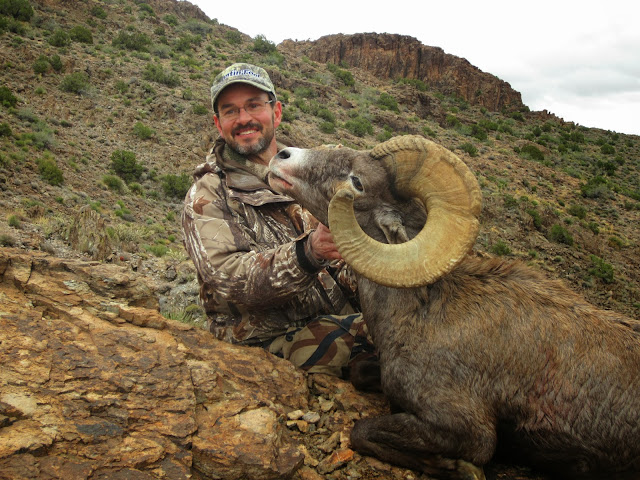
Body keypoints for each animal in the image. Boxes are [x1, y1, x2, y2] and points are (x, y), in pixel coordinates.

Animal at [268, 135, 640, 480]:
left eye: (357, 182)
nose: (281, 156)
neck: (424, 312)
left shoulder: (467, 430)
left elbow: (362, 432)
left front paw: (459, 469)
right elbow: (359, 371)